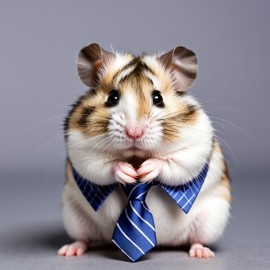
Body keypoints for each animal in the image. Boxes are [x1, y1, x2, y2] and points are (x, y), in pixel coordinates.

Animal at [58, 43, 231, 258]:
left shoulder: (197, 145)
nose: (134, 133)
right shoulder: (79, 148)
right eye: (112, 97)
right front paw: (128, 172)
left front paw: (146, 170)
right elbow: (100, 165)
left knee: (196, 239)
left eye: (158, 98)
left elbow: (177, 162)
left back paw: (201, 253)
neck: (136, 156)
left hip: (211, 221)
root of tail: (164, 243)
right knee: (84, 238)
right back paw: (69, 250)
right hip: (74, 218)